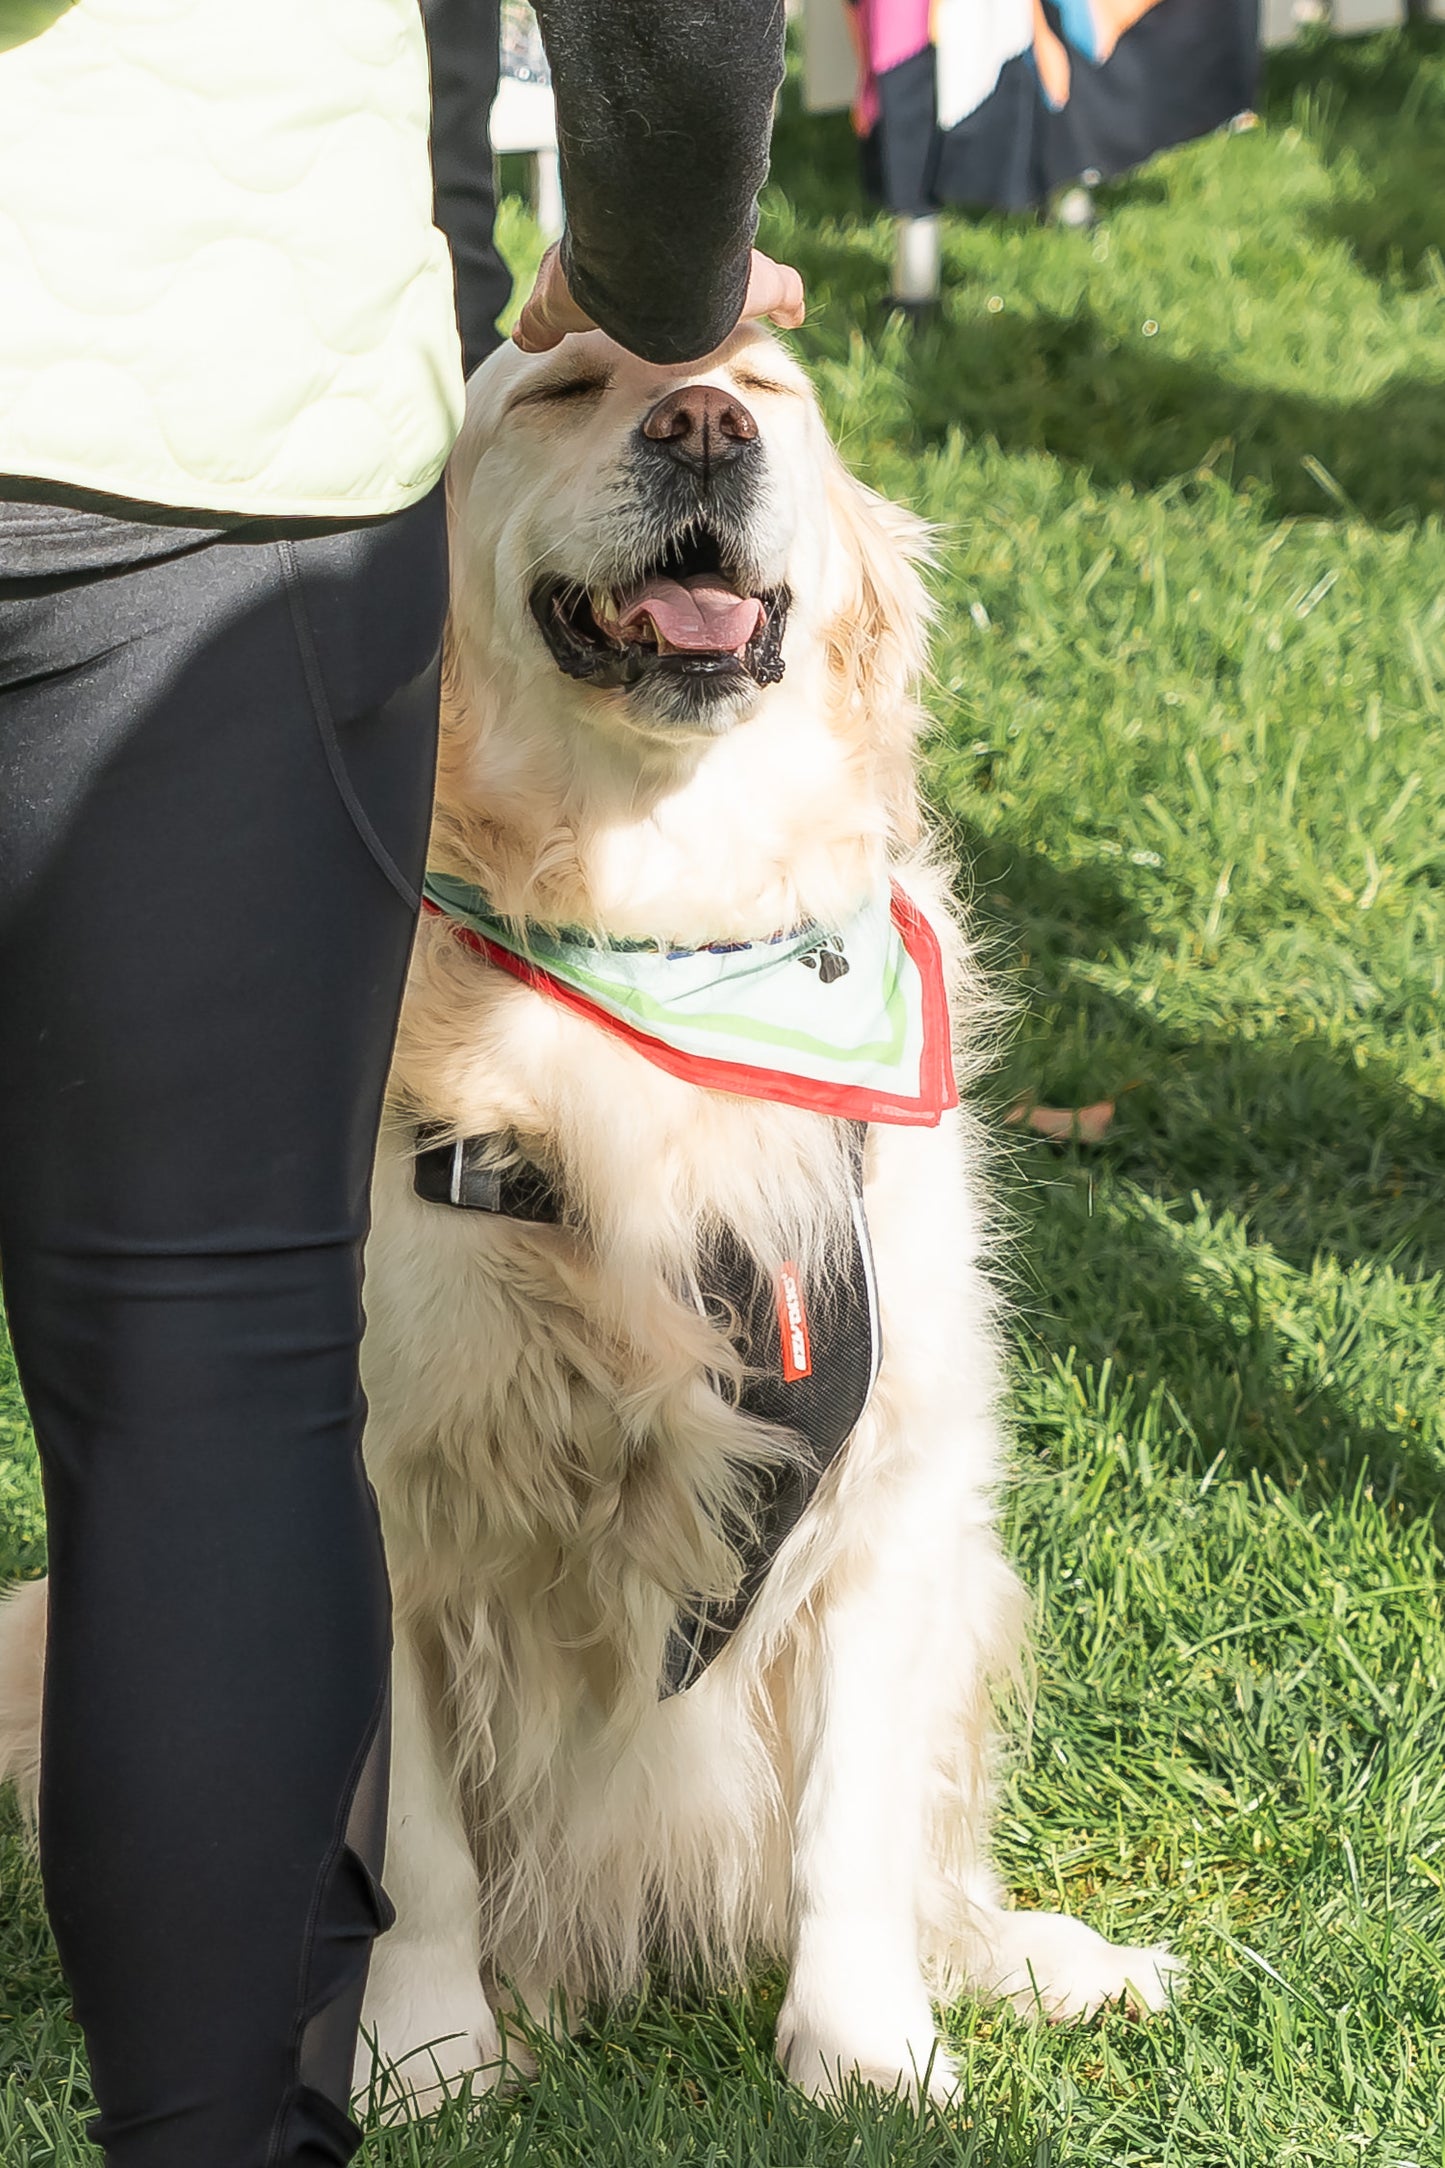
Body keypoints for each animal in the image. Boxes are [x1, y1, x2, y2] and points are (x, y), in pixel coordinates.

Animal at [0, 325, 1178, 2115]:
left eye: (766, 386)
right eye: (555, 389)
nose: (697, 424)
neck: (664, 927)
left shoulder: (895, 1484)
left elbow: (852, 1824)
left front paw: (864, 2053)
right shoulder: (394, 1501)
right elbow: (415, 1852)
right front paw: (426, 2054)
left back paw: (1030, 1957)